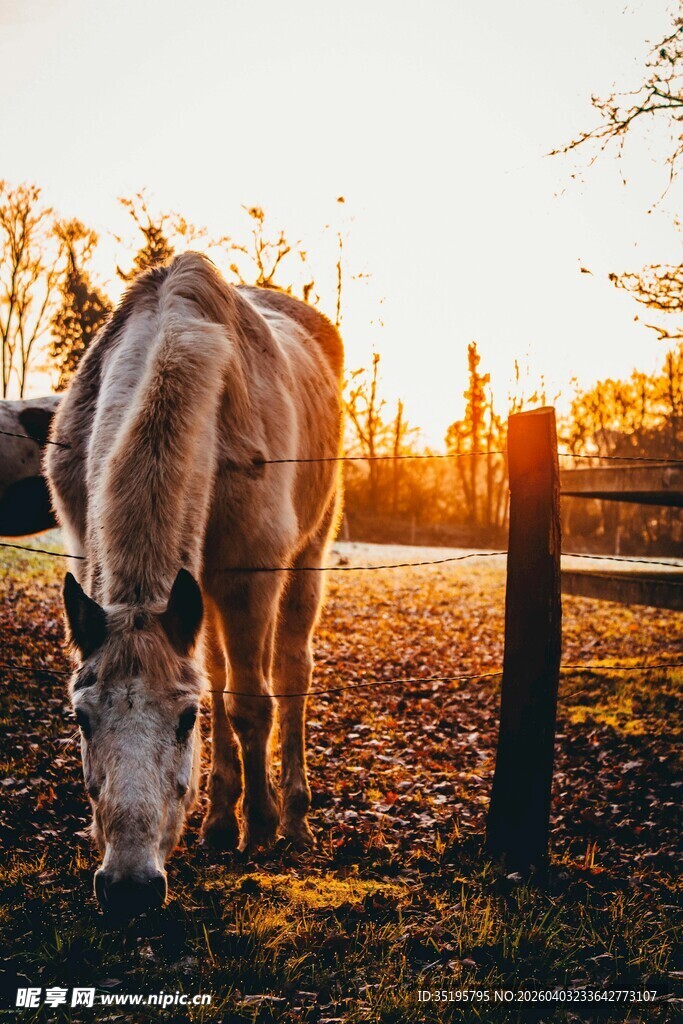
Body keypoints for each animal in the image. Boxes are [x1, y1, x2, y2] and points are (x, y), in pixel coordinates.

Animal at [46, 253, 343, 919]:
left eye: (185, 720)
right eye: (81, 718)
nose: (129, 888)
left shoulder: (249, 578)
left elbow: (249, 704)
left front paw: (259, 827)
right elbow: (224, 696)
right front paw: (223, 822)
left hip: (307, 556)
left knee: (289, 673)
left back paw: (293, 818)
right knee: (224, 671)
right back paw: (217, 821)